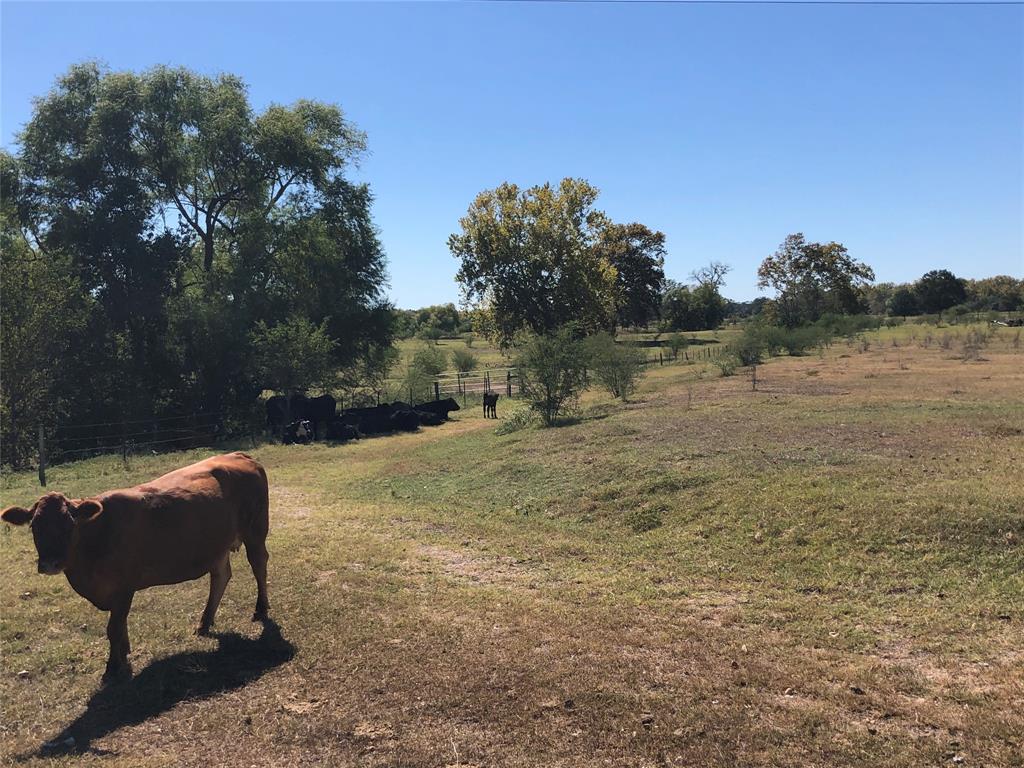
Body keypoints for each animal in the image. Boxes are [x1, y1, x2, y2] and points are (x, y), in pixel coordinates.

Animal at [0, 454, 270, 684]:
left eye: (70, 524)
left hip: (255, 531)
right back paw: (204, 622)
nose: (50, 563)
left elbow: (113, 627)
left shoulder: (123, 587)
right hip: (217, 545)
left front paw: (113, 667)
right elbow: (120, 625)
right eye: (34, 526)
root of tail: (240, 456)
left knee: (259, 565)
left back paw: (260, 609)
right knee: (220, 576)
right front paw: (124, 652)